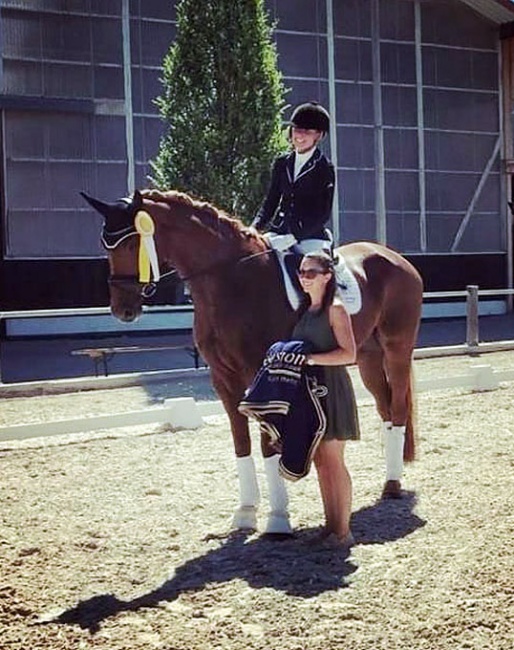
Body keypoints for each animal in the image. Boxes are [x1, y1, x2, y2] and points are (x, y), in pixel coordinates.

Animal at [82, 187, 422, 532]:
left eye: (132, 243)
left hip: (396, 347)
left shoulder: (257, 372)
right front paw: (246, 511)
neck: (229, 278)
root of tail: (395, 258)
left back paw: (392, 485)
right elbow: (241, 442)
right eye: (105, 246)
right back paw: (389, 475)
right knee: (385, 407)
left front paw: (278, 518)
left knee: (397, 408)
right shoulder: (223, 378)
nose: (123, 310)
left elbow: (265, 443)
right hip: (367, 355)